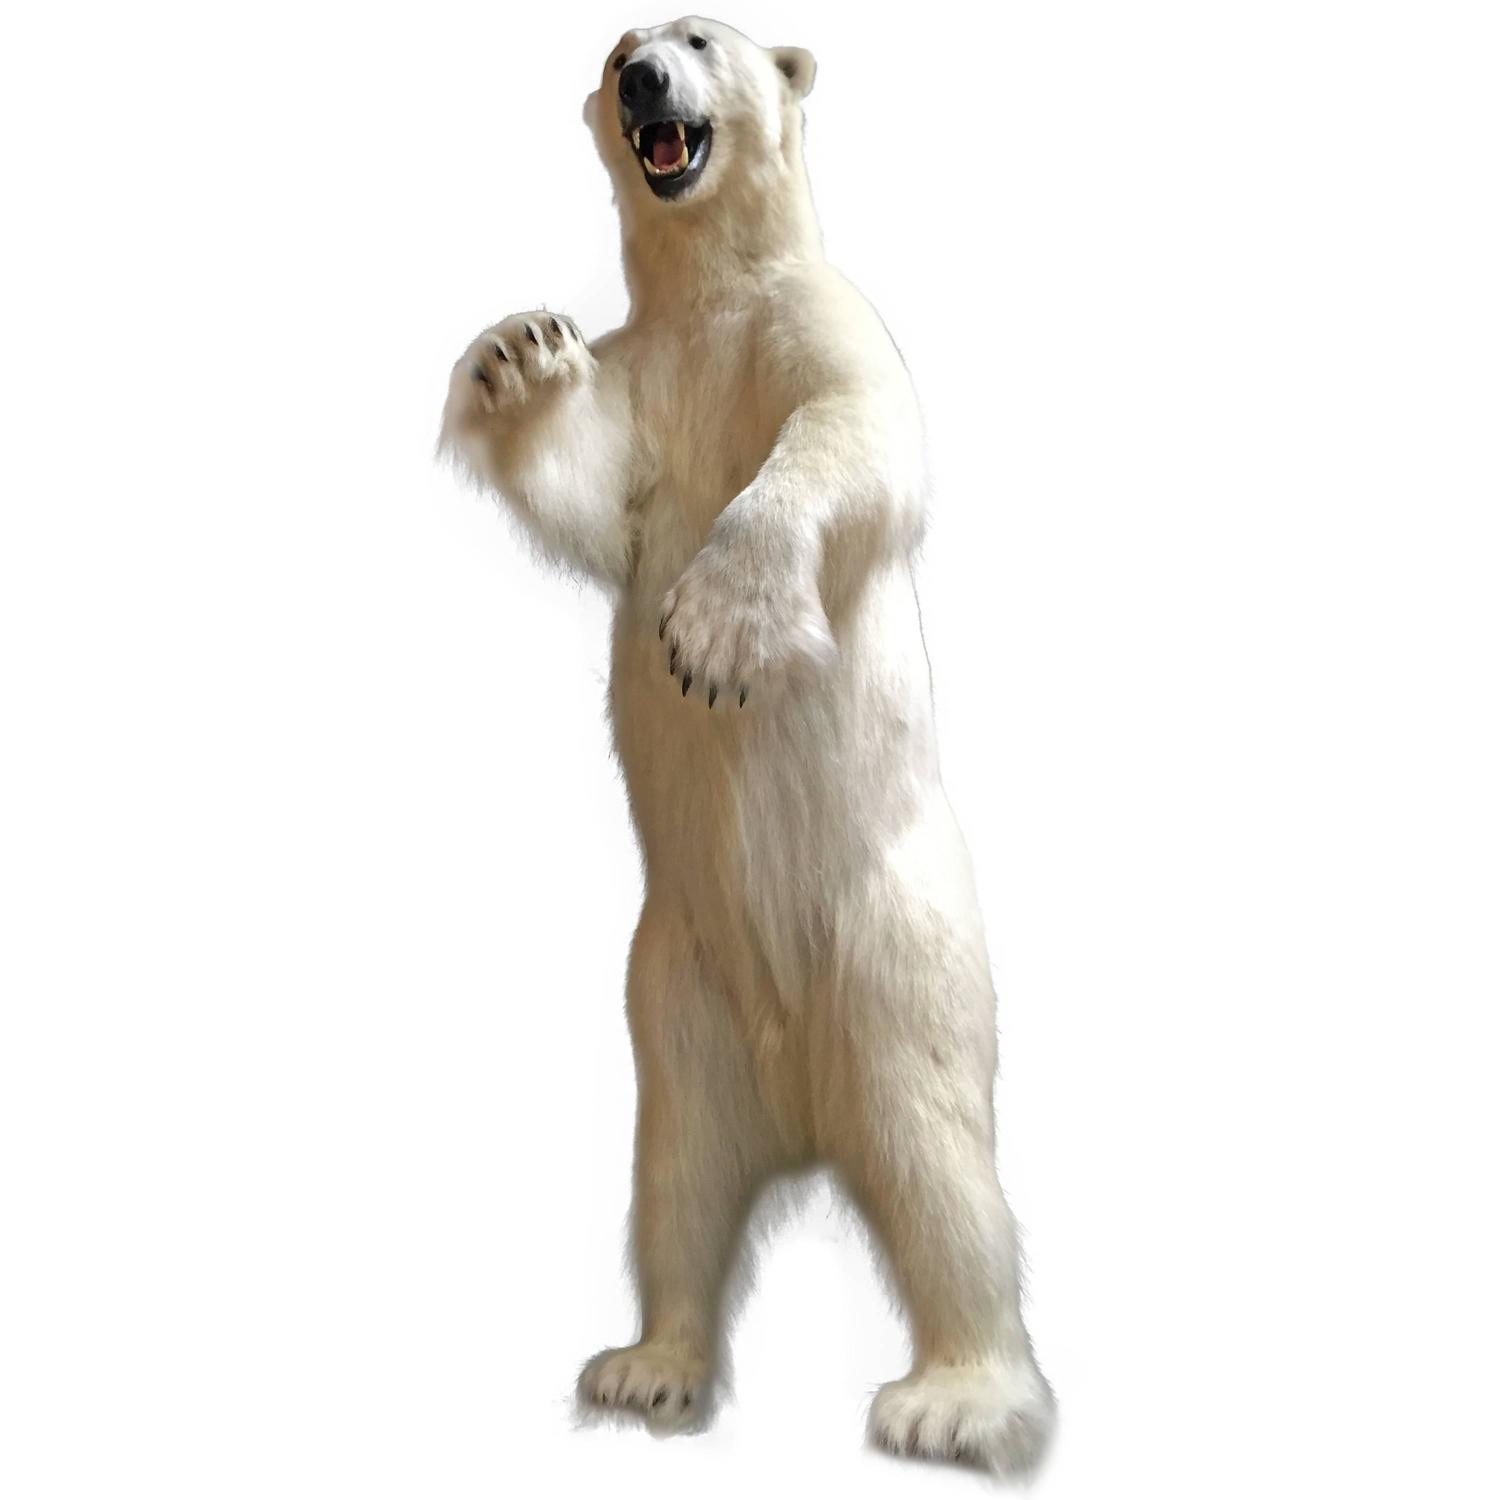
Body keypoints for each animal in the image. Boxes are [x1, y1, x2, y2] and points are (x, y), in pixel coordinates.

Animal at [439, 15, 1054, 1475]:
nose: (642, 79)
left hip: (896, 953)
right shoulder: (648, 376)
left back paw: (955, 1399)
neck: (712, 288)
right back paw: (647, 1367)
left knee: (937, 1156)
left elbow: (846, 435)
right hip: (677, 998)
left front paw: (715, 635)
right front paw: (514, 355)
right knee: (677, 1178)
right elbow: (591, 484)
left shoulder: (821, 320)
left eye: (700, 38)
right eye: (619, 44)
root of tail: (802, 1112)